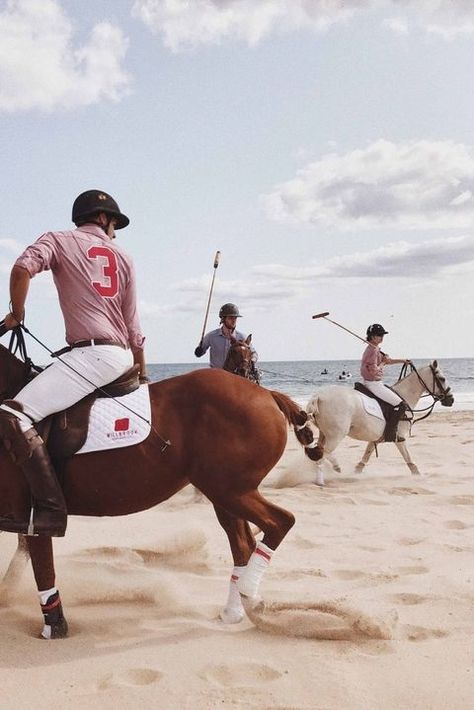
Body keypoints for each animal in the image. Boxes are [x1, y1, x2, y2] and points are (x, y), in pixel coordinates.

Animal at [0, 340, 318, 640]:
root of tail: (267, 395)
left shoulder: (34, 514)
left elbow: (42, 564)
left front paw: (53, 627)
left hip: (231, 490)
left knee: (280, 522)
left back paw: (250, 596)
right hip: (225, 494)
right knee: (243, 543)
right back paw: (235, 610)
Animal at [306, 364, 454, 486]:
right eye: (442, 378)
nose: (451, 400)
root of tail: (318, 396)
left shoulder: (376, 438)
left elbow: (367, 454)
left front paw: (357, 471)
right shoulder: (399, 437)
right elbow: (407, 456)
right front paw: (417, 474)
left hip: (324, 433)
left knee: (318, 451)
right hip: (336, 435)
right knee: (323, 453)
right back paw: (328, 473)